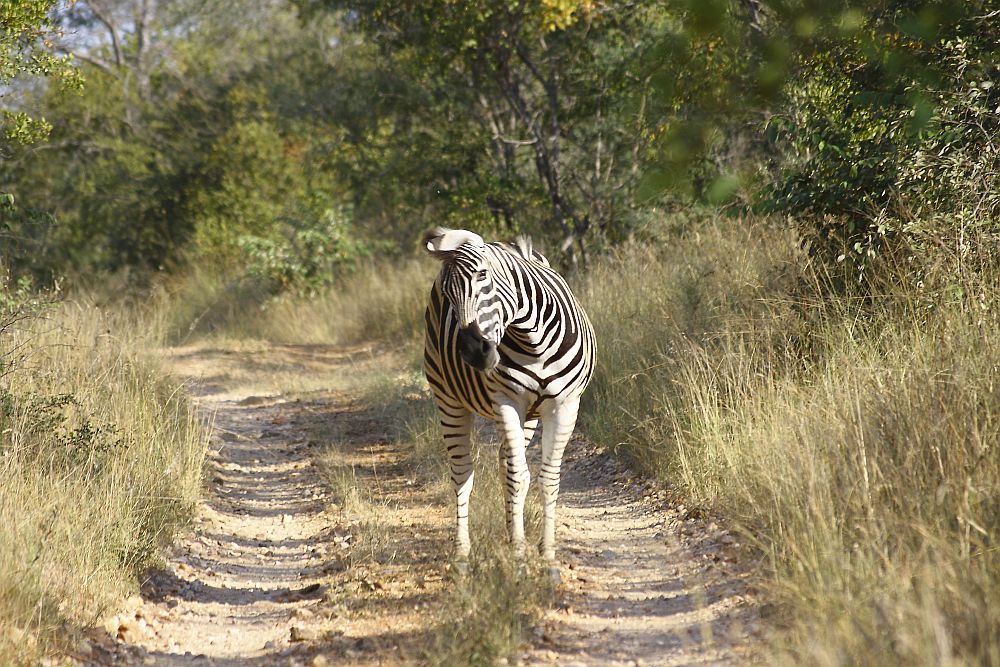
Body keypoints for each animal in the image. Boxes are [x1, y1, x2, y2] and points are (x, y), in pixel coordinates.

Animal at [420, 226, 592, 580]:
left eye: (483, 276)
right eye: (446, 293)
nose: (474, 353)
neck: (533, 338)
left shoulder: (566, 405)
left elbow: (547, 478)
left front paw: (547, 558)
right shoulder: (506, 401)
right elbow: (518, 477)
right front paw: (519, 560)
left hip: (531, 415)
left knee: (503, 463)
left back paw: (509, 533)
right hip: (448, 400)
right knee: (463, 474)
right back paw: (462, 556)